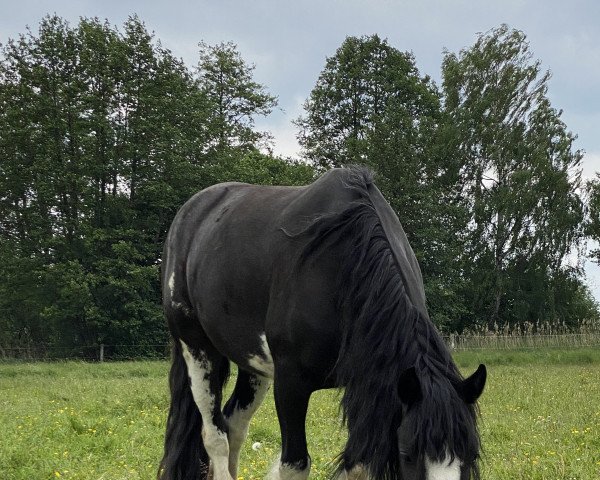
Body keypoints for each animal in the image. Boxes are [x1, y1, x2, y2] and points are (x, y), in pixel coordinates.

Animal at [157, 166, 486, 480]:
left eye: (471, 454)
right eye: (406, 453)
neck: (344, 270)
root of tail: (189, 215)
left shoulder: (367, 386)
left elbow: (357, 466)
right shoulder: (291, 384)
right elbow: (294, 464)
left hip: (254, 364)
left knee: (234, 425)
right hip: (196, 349)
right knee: (215, 436)